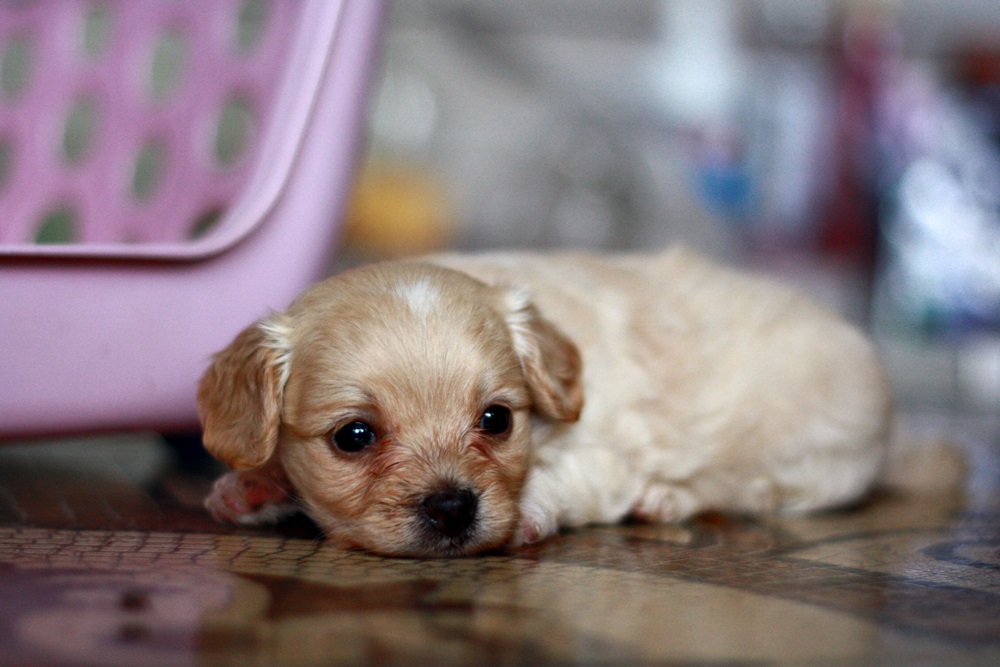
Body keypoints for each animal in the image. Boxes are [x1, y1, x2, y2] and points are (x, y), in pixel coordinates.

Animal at [198, 247, 894, 557]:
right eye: (353, 437)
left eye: (496, 420)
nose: (453, 508)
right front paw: (257, 486)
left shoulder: (607, 451)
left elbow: (567, 477)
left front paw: (530, 508)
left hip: (808, 453)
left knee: (743, 489)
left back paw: (665, 499)